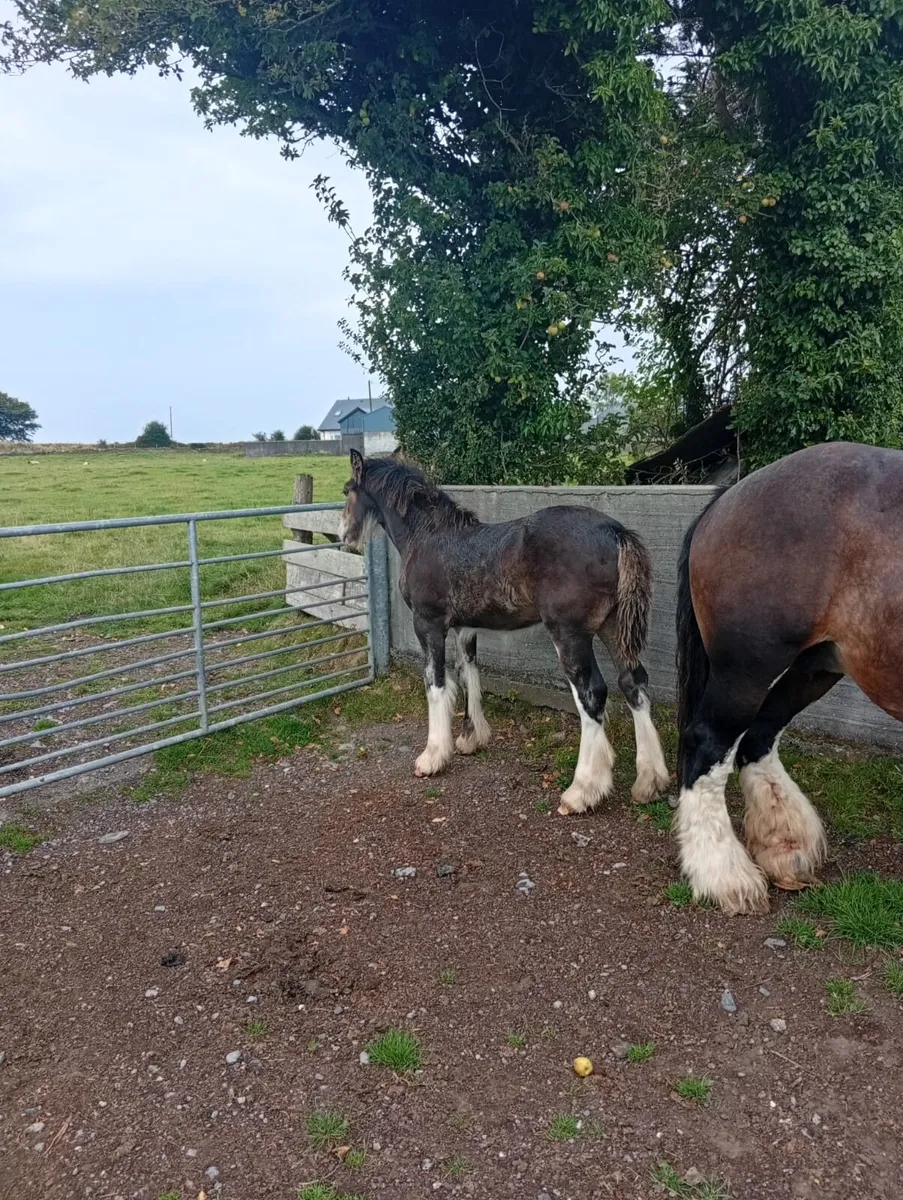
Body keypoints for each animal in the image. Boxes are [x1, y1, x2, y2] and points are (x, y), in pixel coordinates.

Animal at [338, 450, 670, 813]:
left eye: (346, 491)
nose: (343, 535)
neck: (427, 536)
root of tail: (615, 531)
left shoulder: (428, 624)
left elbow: (436, 684)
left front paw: (432, 756)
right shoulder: (465, 629)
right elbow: (468, 674)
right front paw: (470, 738)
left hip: (570, 634)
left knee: (592, 694)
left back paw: (581, 791)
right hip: (613, 626)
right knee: (633, 683)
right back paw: (650, 781)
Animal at [675, 440, 903, 915]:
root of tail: (729, 497)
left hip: (815, 666)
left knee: (759, 736)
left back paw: (785, 842)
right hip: (746, 670)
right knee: (707, 743)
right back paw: (722, 874)